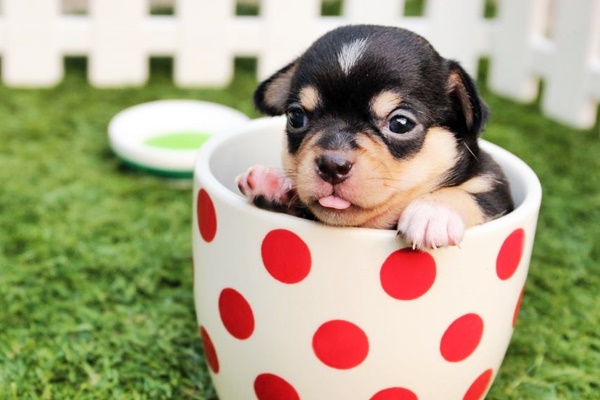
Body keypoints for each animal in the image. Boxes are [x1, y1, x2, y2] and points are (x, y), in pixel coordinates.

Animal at [237, 25, 512, 248]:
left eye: (400, 123)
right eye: (296, 117)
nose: (332, 165)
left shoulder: (495, 189)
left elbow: (472, 194)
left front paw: (432, 212)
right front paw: (272, 182)